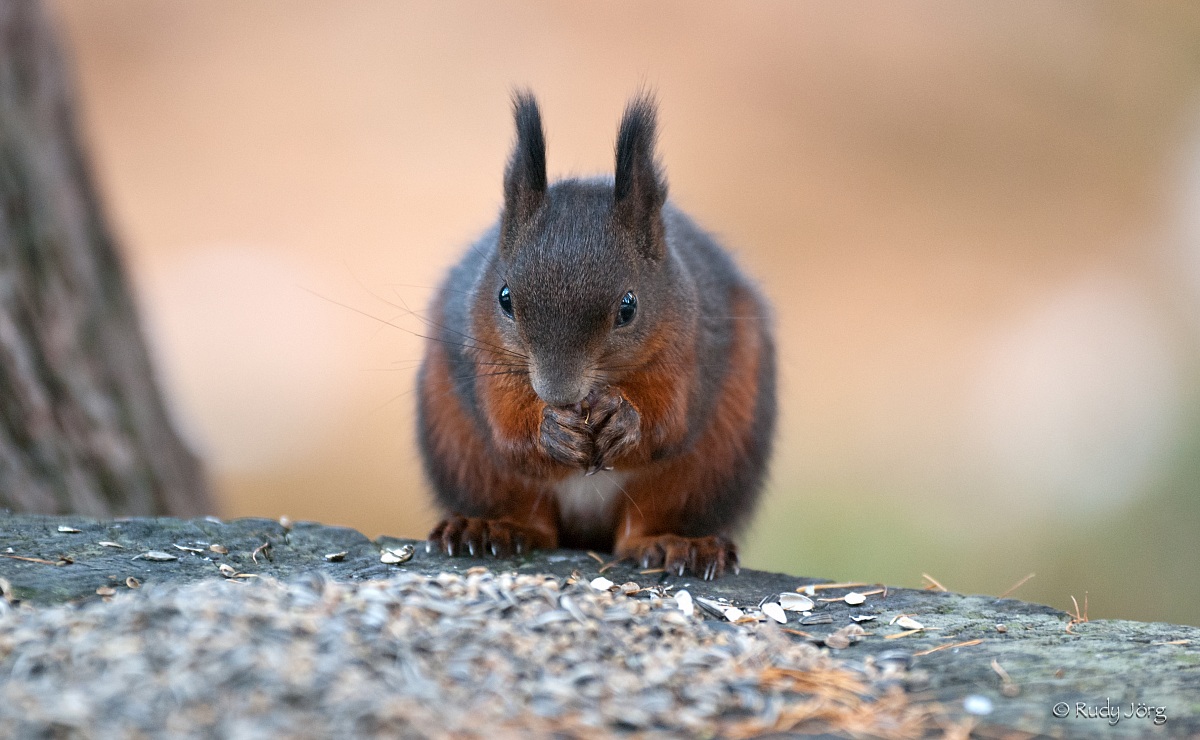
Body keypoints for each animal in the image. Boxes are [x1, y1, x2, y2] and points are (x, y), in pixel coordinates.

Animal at [418, 92, 776, 579]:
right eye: (504, 298)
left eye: (629, 306)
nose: (557, 393)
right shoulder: (480, 353)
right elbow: (505, 423)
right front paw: (549, 429)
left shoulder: (693, 348)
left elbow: (670, 420)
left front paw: (625, 419)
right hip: (469, 457)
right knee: (530, 516)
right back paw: (492, 528)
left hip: (706, 468)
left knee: (642, 525)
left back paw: (676, 544)